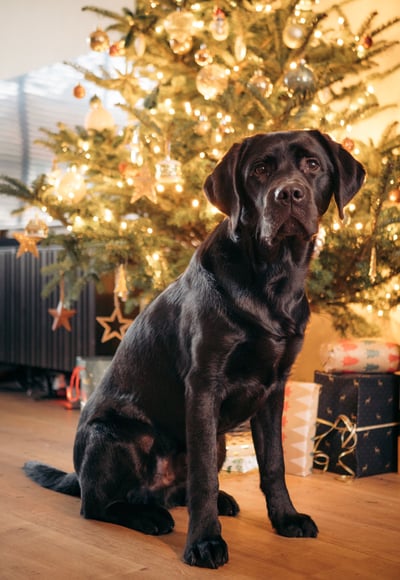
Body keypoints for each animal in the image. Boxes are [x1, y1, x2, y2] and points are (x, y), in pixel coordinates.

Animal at [23, 129, 364, 568]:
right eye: (260, 169)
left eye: (313, 165)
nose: (288, 193)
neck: (273, 277)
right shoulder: (204, 385)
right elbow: (203, 476)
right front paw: (204, 542)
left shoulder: (275, 389)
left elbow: (273, 464)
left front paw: (286, 518)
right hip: (115, 435)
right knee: (97, 505)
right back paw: (150, 516)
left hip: (218, 441)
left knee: (176, 491)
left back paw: (212, 501)